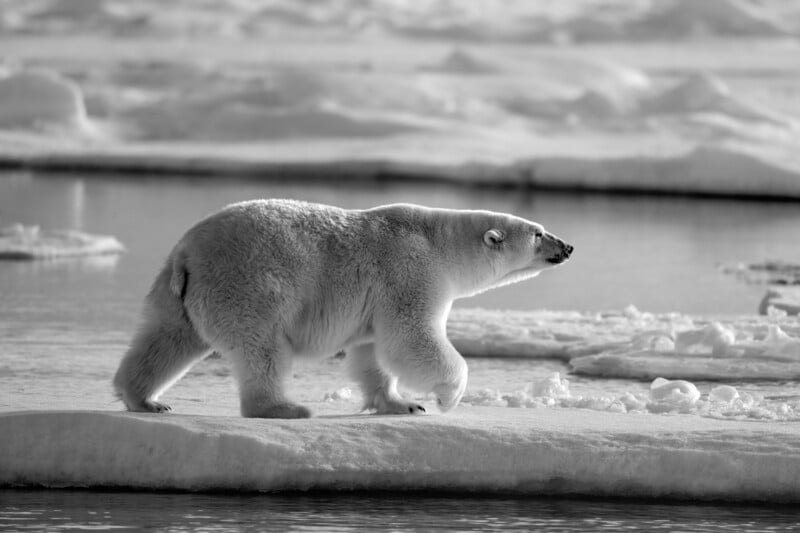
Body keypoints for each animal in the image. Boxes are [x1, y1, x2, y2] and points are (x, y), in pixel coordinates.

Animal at [114, 198, 576, 416]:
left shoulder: (378, 299)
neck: (440, 241)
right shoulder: (410, 272)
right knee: (262, 349)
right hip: (249, 285)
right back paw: (285, 408)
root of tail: (187, 253)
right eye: (538, 233)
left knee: (167, 340)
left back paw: (145, 399)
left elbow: (373, 352)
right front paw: (447, 397)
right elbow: (411, 335)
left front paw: (403, 404)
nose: (568, 246)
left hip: (179, 293)